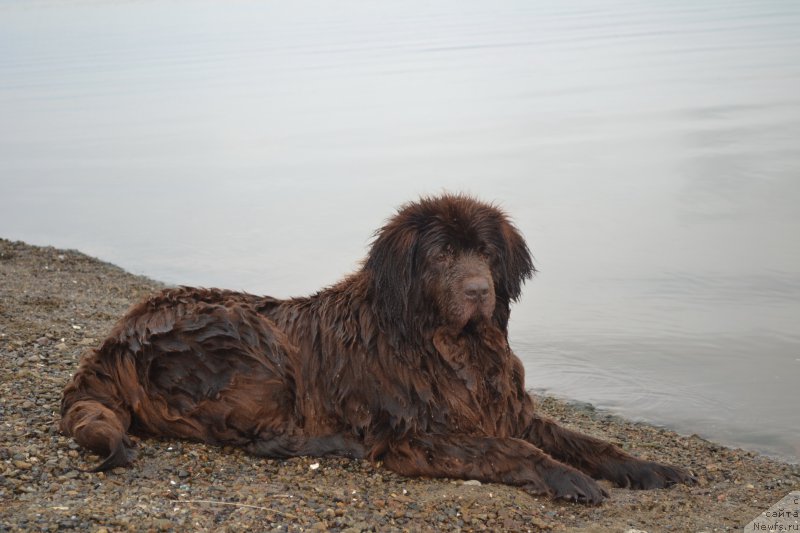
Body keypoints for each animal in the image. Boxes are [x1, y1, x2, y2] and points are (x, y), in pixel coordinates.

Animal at [61, 193, 692, 500]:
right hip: (253, 349)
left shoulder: (510, 409)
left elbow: (589, 441)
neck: (449, 349)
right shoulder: (420, 435)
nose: (478, 290)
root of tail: (111, 338)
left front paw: (648, 467)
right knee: (258, 439)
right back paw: (340, 442)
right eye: (443, 254)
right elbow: (514, 449)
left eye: (487, 253)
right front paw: (568, 479)